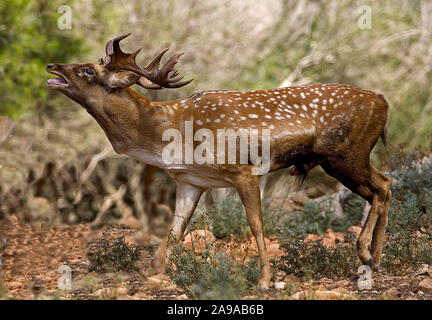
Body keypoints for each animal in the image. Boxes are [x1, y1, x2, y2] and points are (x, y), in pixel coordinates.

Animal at [46, 33, 392, 288]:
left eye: (88, 70)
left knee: (382, 185)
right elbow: (174, 231)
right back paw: (374, 258)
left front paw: (265, 280)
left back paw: (365, 254)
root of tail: (383, 101)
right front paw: (155, 272)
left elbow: (256, 225)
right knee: (385, 184)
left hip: (346, 155)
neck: (170, 135)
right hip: (341, 160)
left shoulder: (243, 169)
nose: (52, 67)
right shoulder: (191, 182)